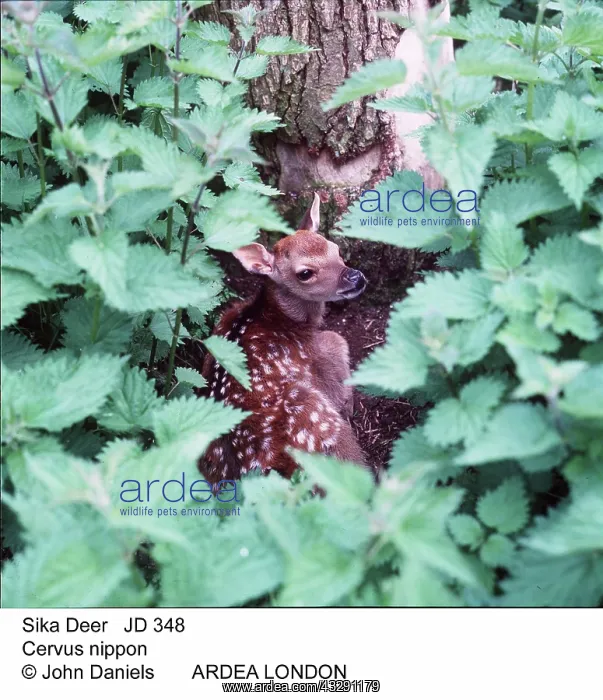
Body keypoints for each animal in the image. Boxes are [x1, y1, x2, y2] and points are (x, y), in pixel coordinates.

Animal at [199, 193, 367, 483]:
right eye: (305, 273)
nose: (355, 277)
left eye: (335, 249)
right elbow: (339, 350)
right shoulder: (323, 359)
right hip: (318, 417)